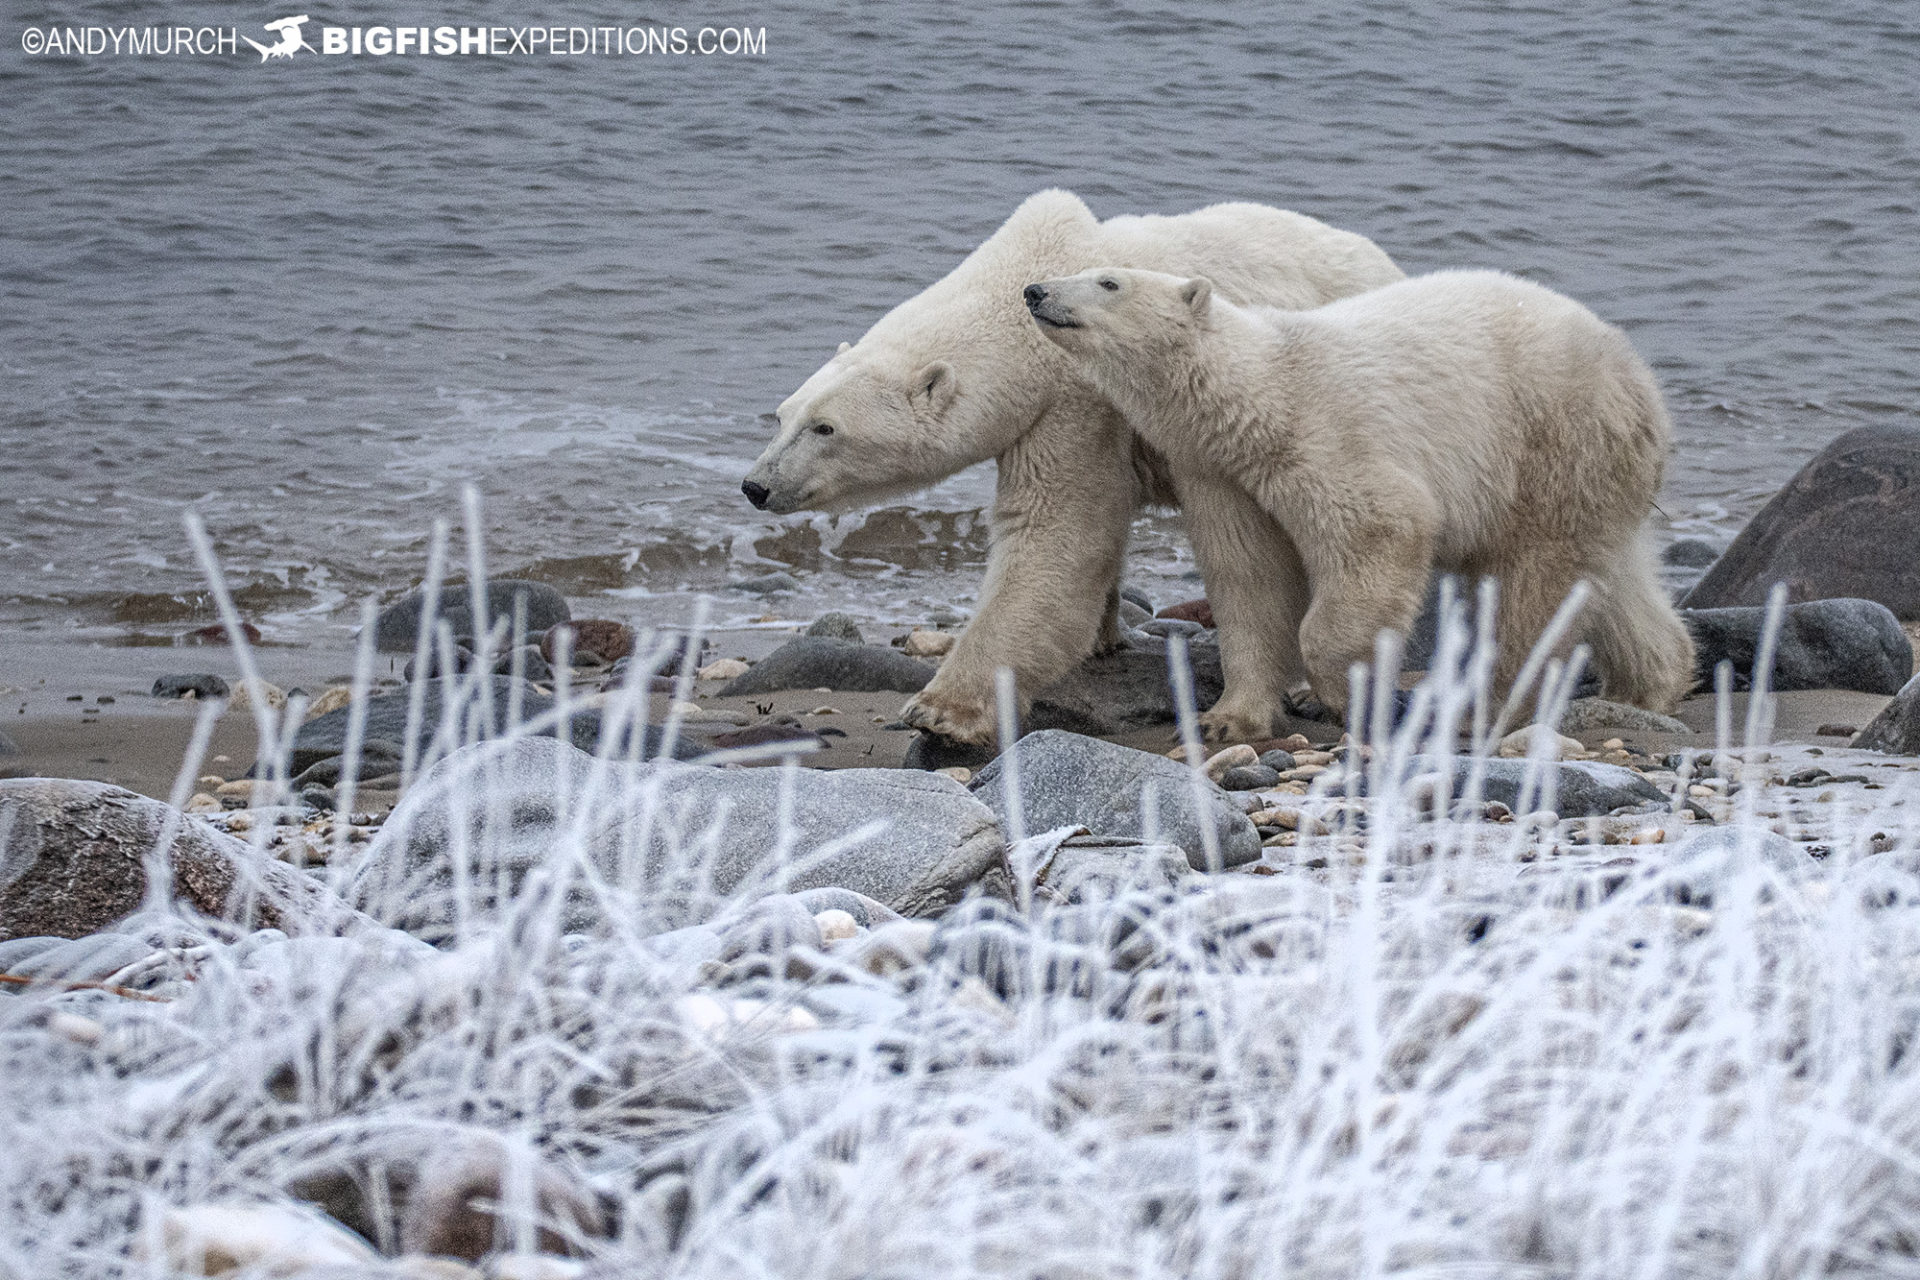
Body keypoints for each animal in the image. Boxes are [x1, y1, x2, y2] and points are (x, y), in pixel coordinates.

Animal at [741, 190, 1404, 747]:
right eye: (783, 414)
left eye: (826, 428)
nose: (756, 486)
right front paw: (1102, 638)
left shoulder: (1083, 398)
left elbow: (1056, 531)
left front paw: (942, 710)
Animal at [1022, 265, 1697, 737]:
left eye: (1109, 280)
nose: (1034, 290)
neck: (1260, 393)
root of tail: (1642, 380)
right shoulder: (1221, 478)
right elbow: (1248, 580)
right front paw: (1227, 718)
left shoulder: (1325, 435)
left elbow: (1379, 529)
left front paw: (1337, 689)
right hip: (1592, 475)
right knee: (1610, 575)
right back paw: (1649, 686)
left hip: (1552, 441)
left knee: (1535, 583)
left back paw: (1483, 707)